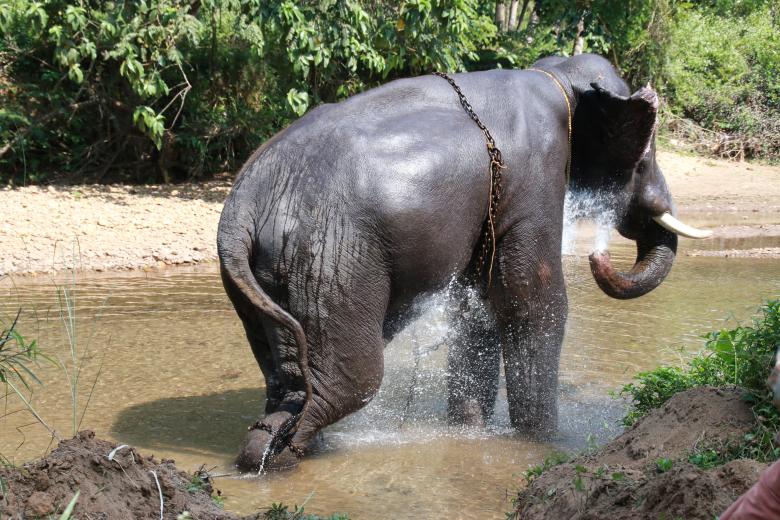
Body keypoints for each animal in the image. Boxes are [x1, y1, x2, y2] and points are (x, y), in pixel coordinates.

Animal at [217, 53, 711, 472]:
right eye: (646, 156)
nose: (599, 255)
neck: (557, 75)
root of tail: (242, 206)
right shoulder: (535, 180)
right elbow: (534, 301)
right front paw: (543, 443)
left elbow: (479, 309)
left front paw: (468, 433)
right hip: (330, 260)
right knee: (352, 382)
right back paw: (286, 454)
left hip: (275, 274)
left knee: (292, 378)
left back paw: (272, 453)